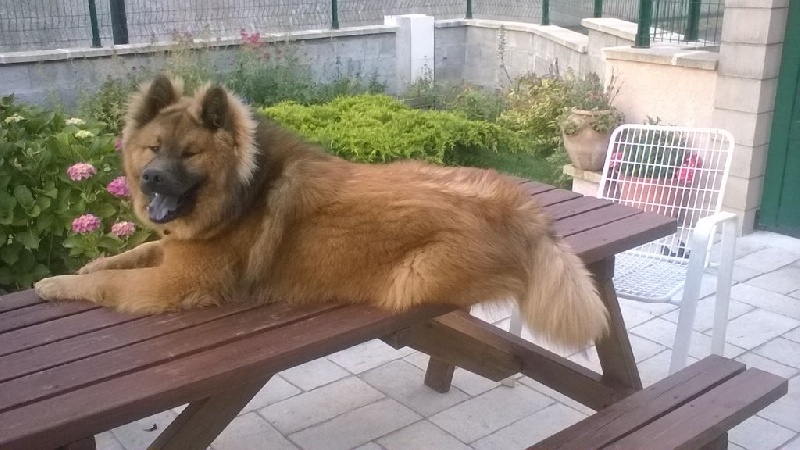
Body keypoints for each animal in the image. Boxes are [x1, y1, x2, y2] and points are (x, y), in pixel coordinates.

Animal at [34, 75, 609, 348]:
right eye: (153, 148)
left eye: (190, 153)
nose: (151, 179)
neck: (242, 191)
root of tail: (524, 212)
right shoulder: (174, 251)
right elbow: (129, 255)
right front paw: (87, 262)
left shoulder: (176, 283)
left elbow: (110, 284)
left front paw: (57, 283)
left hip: (416, 276)